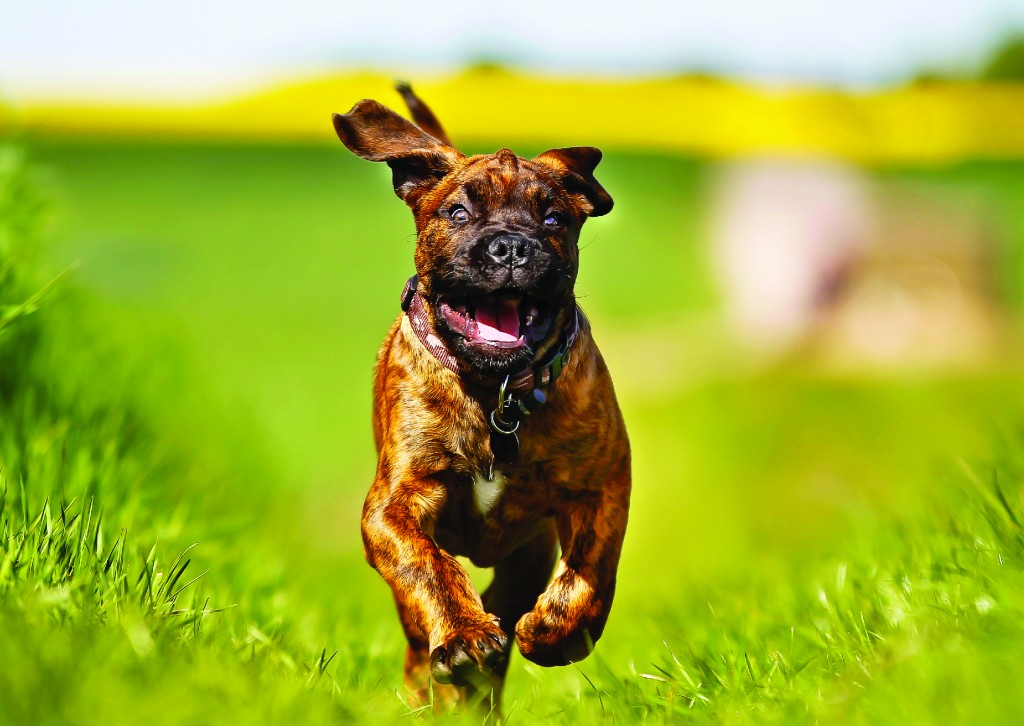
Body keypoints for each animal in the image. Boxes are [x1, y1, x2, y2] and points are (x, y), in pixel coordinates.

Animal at [331, 87, 626, 712]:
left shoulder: (604, 485)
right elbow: (428, 567)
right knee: (421, 642)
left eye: (554, 218)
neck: (498, 393)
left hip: (530, 551)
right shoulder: (393, 503)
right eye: (458, 214)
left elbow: (591, 572)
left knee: (510, 599)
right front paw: (463, 635)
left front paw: (558, 632)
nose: (512, 247)